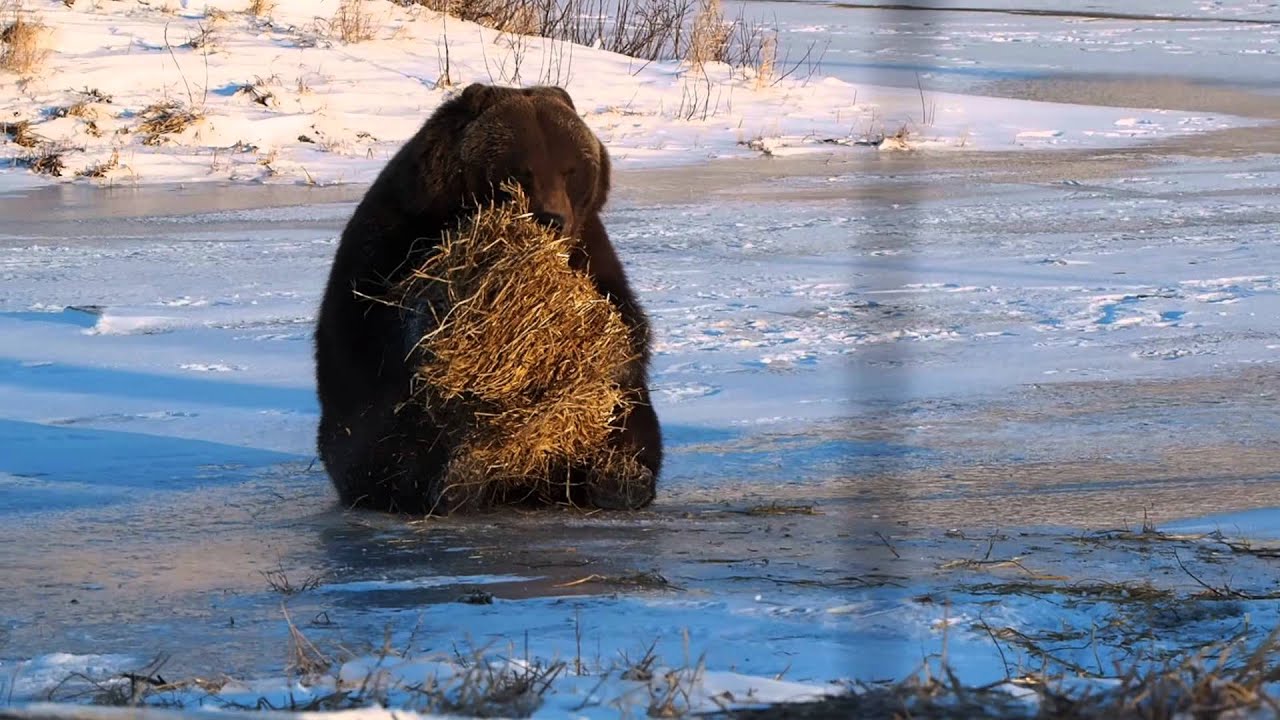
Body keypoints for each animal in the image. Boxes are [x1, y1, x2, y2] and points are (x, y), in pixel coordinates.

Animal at [314, 82, 665, 509]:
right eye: (522, 170)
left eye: (570, 169)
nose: (552, 218)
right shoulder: (396, 236)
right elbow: (379, 323)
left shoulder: (589, 250)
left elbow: (626, 333)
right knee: (397, 446)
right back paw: (458, 479)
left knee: (633, 427)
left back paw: (619, 478)